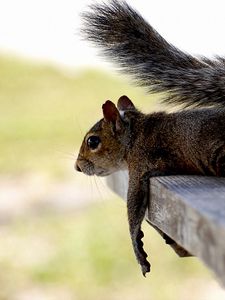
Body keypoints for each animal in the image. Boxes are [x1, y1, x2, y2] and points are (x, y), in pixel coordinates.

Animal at [75, 0, 225, 276]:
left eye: (93, 142)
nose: (77, 167)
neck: (134, 134)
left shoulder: (139, 164)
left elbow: (133, 207)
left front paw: (138, 248)